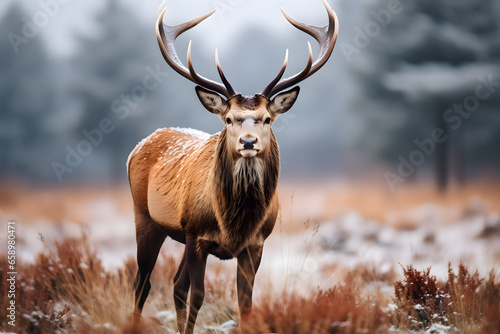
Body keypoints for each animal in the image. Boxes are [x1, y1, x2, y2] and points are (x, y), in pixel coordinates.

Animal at [128, 1, 340, 332]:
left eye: (267, 118)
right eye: (229, 119)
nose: (248, 141)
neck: (236, 224)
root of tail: (139, 145)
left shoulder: (256, 244)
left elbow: (245, 304)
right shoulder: (197, 235)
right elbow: (198, 297)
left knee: (175, 285)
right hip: (146, 218)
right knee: (143, 283)